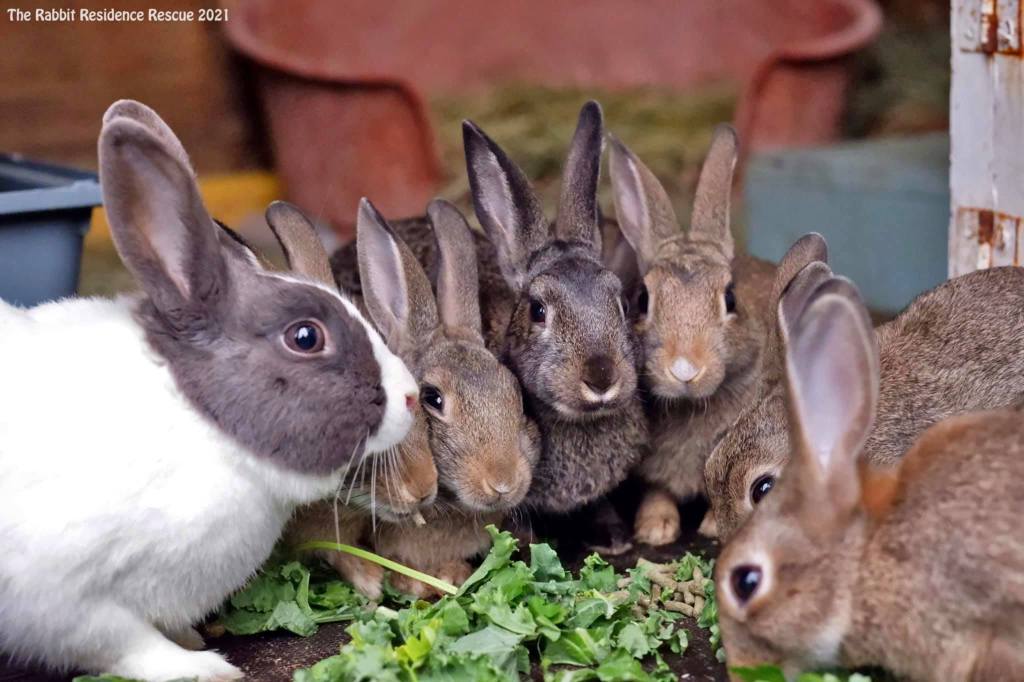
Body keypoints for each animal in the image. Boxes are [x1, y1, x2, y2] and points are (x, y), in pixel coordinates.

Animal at [0, 100, 418, 682]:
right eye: (306, 337)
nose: (411, 395)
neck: (204, 425)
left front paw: (192, 640)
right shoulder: (63, 596)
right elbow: (125, 642)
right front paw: (202, 668)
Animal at [607, 127, 826, 546]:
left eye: (730, 298)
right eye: (642, 300)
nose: (685, 368)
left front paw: (708, 524)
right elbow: (657, 491)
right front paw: (655, 528)